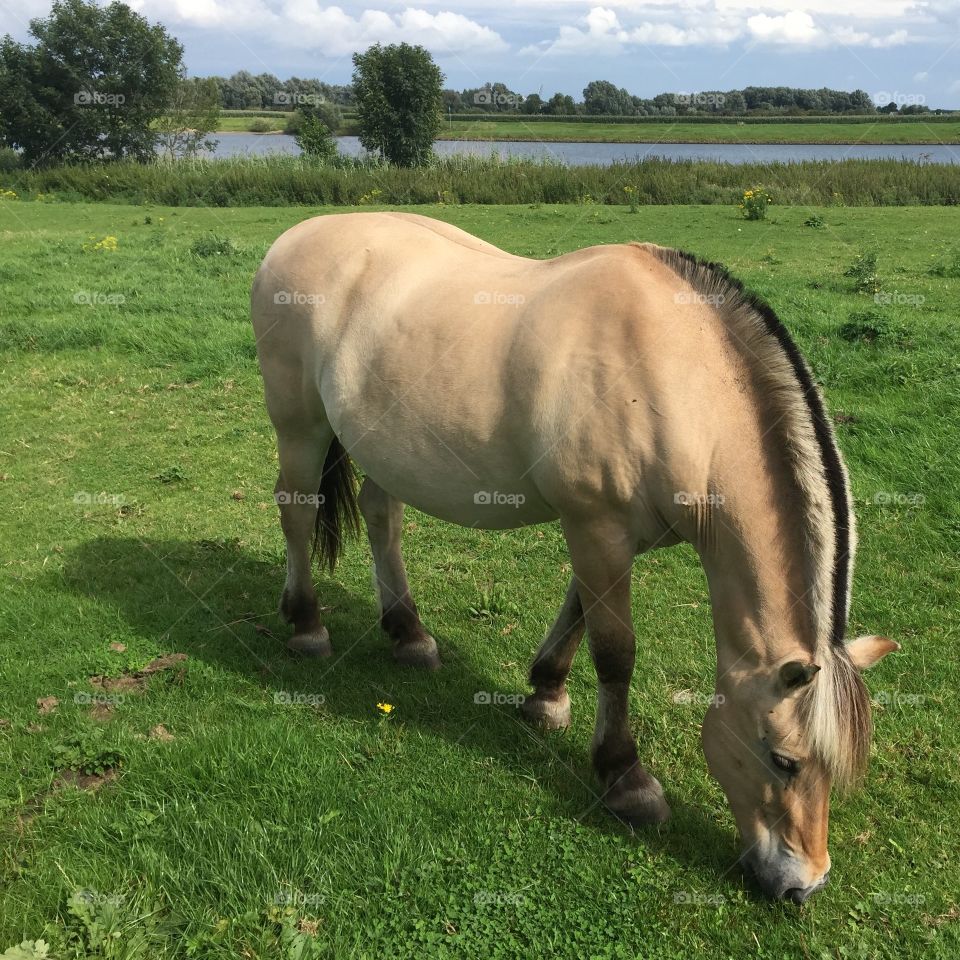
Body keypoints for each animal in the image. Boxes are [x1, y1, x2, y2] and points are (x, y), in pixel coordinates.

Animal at [251, 212, 897, 904]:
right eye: (783, 759)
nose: (804, 885)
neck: (672, 379)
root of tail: (295, 235)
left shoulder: (611, 536)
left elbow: (579, 614)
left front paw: (546, 694)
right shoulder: (596, 526)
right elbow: (615, 652)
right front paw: (626, 779)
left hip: (384, 446)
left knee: (382, 516)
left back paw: (408, 633)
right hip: (299, 426)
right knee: (295, 511)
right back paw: (306, 624)